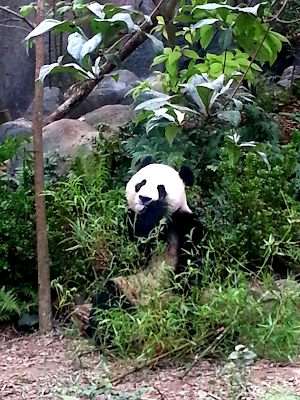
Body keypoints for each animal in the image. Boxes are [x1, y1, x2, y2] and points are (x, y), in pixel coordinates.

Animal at [88, 156, 203, 340]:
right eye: (141, 183)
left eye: (161, 188)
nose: (144, 198)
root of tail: (148, 311)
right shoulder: (126, 222)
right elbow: (125, 254)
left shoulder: (185, 223)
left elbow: (191, 261)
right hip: (128, 285)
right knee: (108, 299)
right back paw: (110, 332)